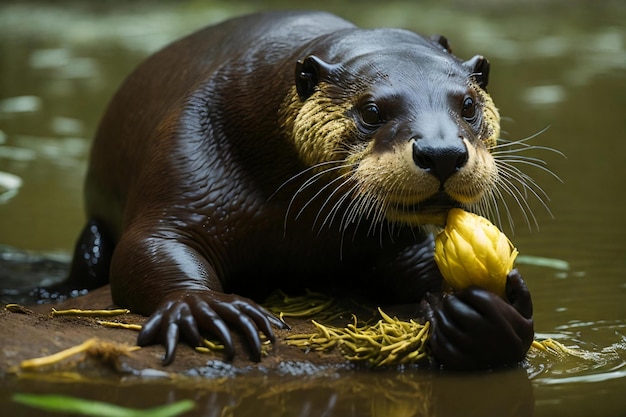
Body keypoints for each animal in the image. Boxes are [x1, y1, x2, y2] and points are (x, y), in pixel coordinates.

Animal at [59, 9, 532, 368]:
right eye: (371, 111)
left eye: (467, 106)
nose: (442, 153)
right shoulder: (187, 155)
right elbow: (147, 245)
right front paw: (207, 307)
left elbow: (420, 266)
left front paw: (490, 316)